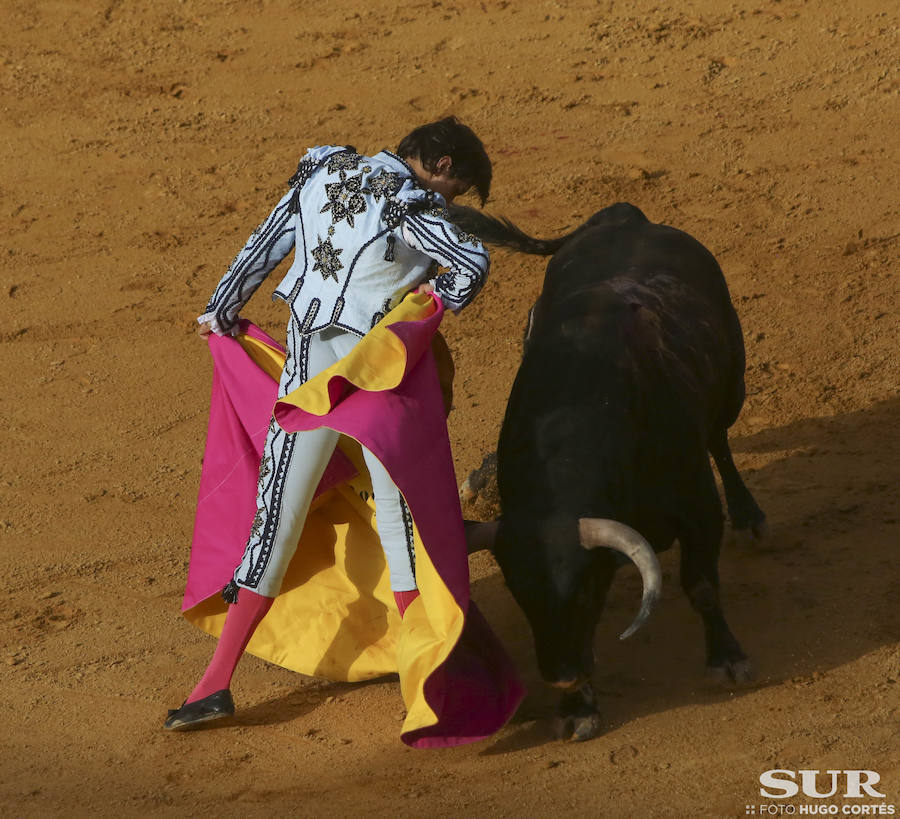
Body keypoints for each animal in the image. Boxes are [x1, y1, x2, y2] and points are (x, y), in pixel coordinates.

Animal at [450, 205, 768, 744]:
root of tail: (628, 218)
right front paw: (578, 707)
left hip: (733, 385)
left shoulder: (698, 507)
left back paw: (749, 516)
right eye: (520, 596)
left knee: (720, 440)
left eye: (585, 591)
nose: (561, 675)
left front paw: (728, 659)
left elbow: (702, 585)